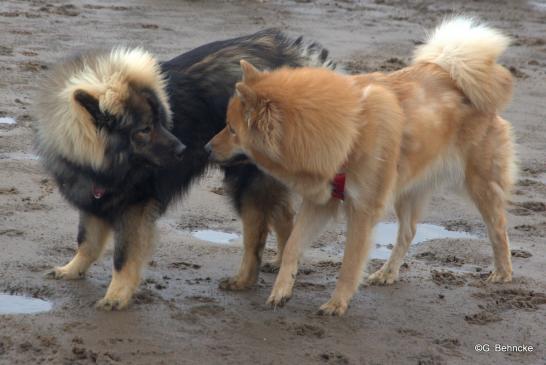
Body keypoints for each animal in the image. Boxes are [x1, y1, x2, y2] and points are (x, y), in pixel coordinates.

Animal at [35, 32, 336, 310]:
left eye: (160, 121)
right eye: (145, 129)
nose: (183, 148)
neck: (101, 161)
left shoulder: (134, 207)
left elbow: (122, 257)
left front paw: (116, 296)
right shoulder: (93, 198)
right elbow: (86, 241)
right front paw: (72, 270)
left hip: (246, 185)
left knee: (256, 237)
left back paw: (244, 279)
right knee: (284, 218)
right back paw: (281, 261)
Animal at [205, 17, 516, 314]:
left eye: (231, 129)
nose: (206, 148)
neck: (349, 130)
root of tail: (450, 73)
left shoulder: (362, 211)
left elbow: (349, 263)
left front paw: (337, 303)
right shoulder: (321, 203)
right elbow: (293, 244)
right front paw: (282, 290)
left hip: (480, 182)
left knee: (498, 228)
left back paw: (502, 273)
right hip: (408, 191)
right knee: (408, 233)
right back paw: (387, 273)